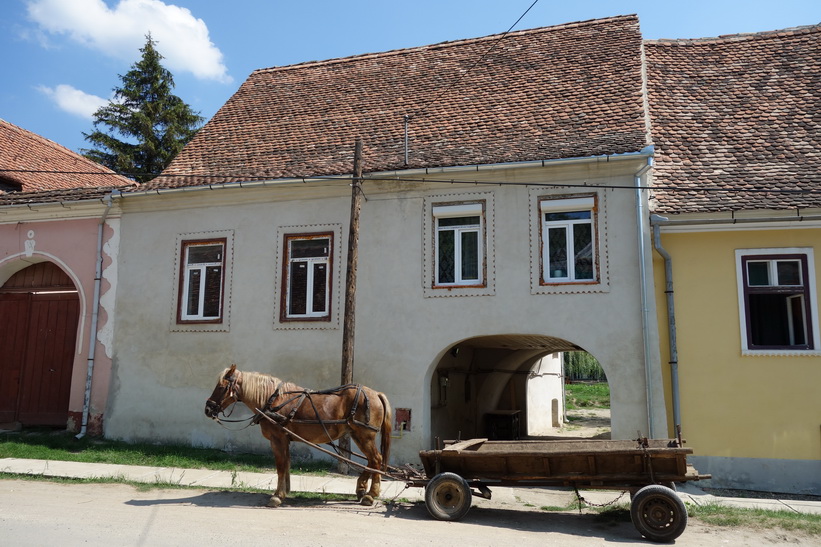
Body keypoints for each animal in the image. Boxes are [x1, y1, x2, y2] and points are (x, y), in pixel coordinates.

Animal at [203, 366, 392, 508]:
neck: (273, 400)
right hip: (358, 435)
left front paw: (277, 496)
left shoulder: (277, 439)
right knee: (371, 461)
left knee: (375, 459)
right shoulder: (284, 439)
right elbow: (286, 464)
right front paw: (285, 491)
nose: (208, 409)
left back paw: (370, 495)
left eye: (221, 387)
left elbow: (280, 465)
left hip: (364, 435)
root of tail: (376, 394)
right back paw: (361, 488)